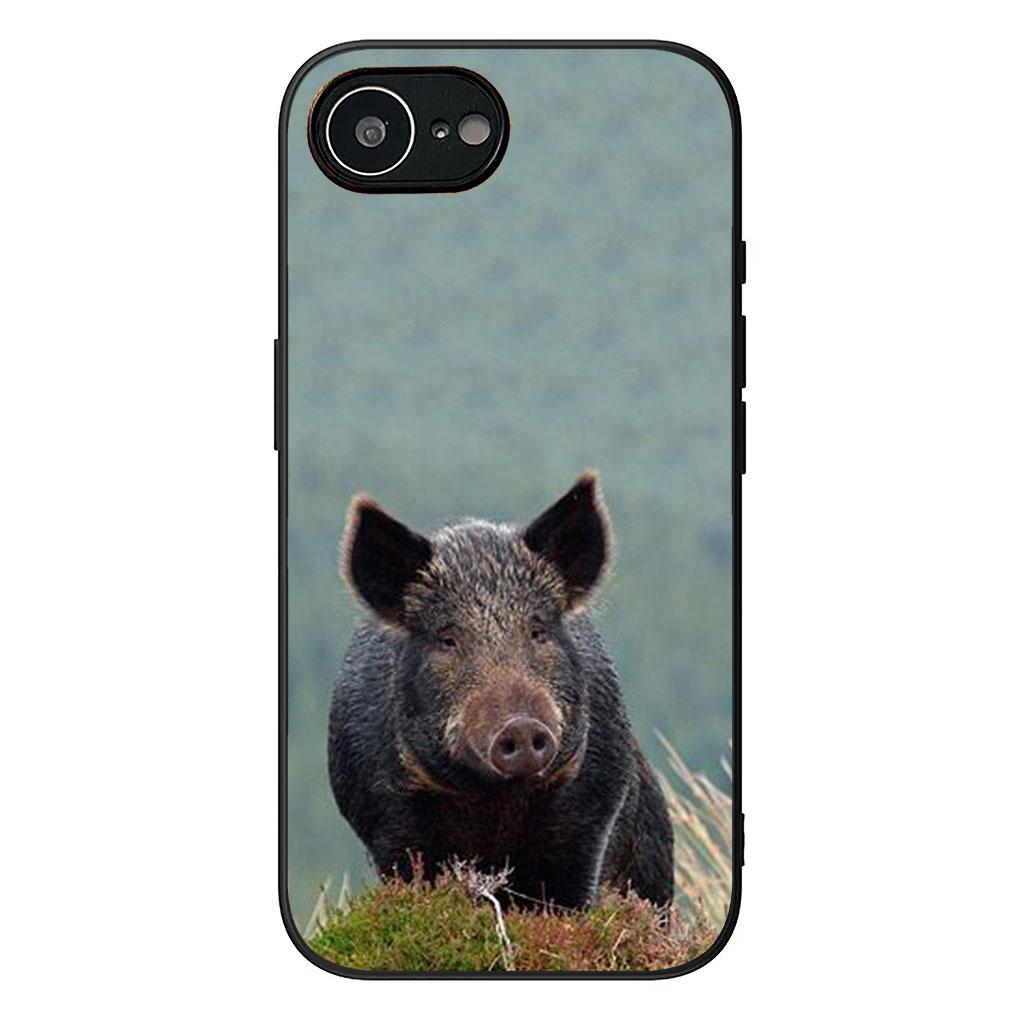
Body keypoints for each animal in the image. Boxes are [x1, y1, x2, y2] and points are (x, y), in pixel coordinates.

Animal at [327, 472, 674, 909]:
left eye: (538, 630)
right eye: (447, 639)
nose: (521, 726)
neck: (490, 801)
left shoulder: (591, 813)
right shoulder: (386, 820)